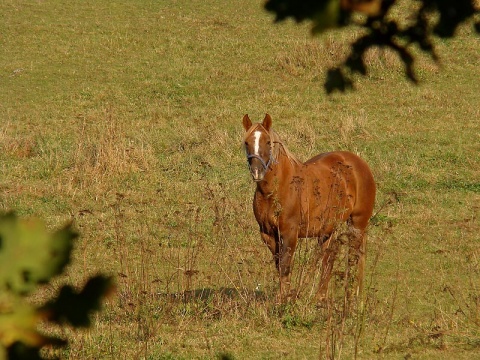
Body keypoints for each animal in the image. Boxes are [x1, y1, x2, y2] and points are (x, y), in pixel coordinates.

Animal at [244, 114, 376, 300]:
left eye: (268, 142)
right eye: (246, 143)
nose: (257, 171)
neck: (279, 188)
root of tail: (359, 164)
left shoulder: (289, 233)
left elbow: (285, 266)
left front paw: (284, 301)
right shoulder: (268, 234)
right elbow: (279, 266)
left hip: (358, 223)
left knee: (353, 257)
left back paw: (351, 297)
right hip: (328, 229)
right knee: (328, 257)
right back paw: (320, 297)